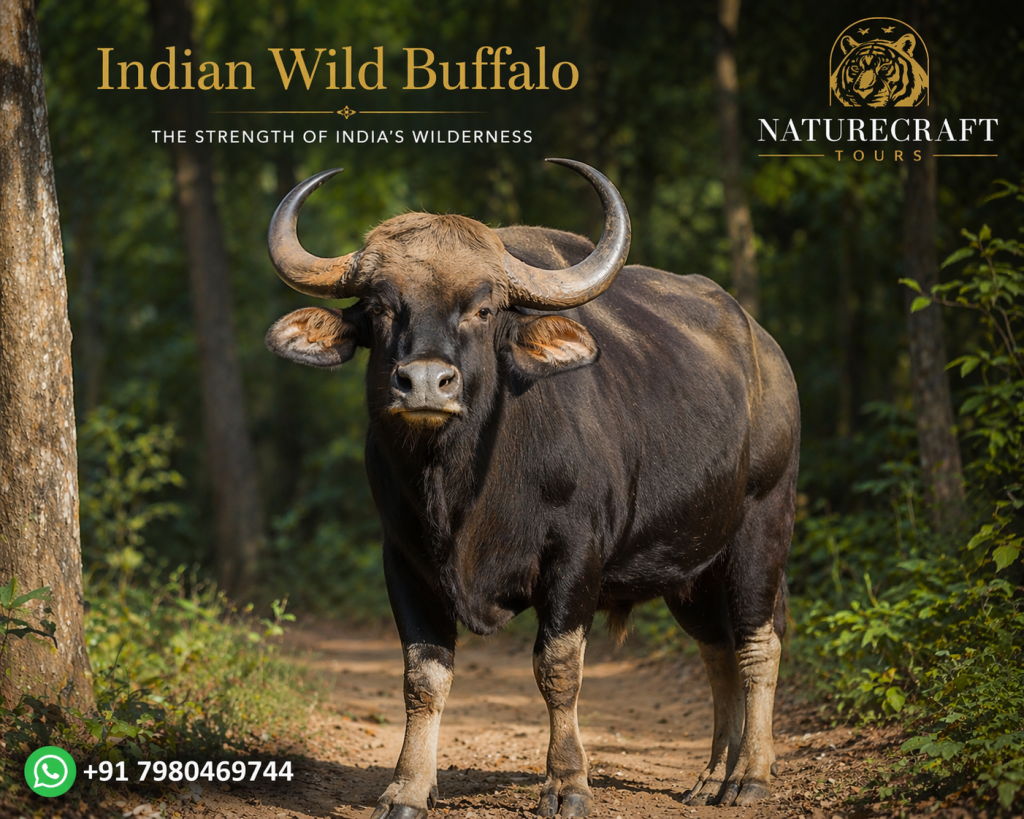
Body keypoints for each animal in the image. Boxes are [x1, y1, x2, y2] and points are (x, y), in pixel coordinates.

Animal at [265, 160, 799, 816]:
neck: (465, 493)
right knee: (717, 648)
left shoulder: (575, 557)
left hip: (762, 527)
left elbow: (558, 669)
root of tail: (769, 357)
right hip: (690, 565)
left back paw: (750, 774)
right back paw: (711, 776)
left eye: (484, 309)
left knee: (757, 642)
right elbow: (423, 678)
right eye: (381, 307)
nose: (425, 382)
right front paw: (408, 786)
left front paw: (567, 782)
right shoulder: (404, 559)